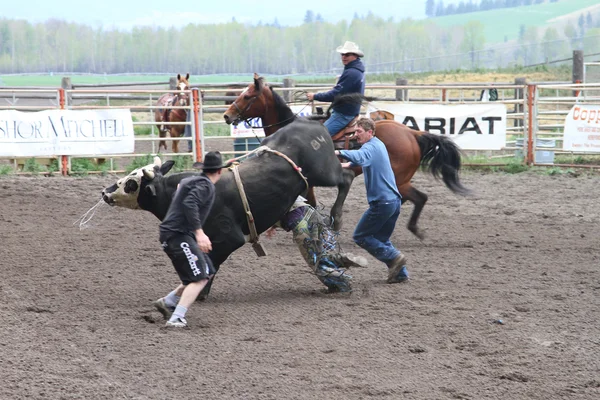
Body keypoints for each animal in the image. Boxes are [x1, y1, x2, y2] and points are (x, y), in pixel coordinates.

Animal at [102, 120, 354, 298]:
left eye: (131, 183)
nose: (105, 192)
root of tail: (312, 124)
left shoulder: (229, 238)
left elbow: (211, 262)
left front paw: (200, 293)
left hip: (325, 172)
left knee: (347, 176)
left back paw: (337, 216)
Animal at [223, 74, 472, 239]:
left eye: (247, 96)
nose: (227, 115)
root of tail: (413, 133)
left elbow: (309, 202)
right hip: (401, 180)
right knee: (416, 198)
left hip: (399, 179)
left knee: (416, 198)